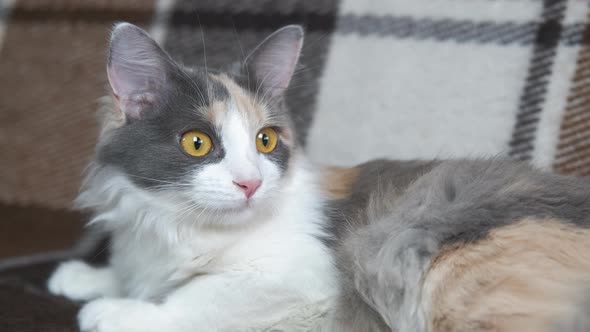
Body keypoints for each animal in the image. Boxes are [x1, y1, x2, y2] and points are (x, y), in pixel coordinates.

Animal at [48, 23, 590, 332]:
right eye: (197, 143)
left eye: (266, 140)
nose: (250, 183)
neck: (177, 223)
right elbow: (132, 273)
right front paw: (87, 277)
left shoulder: (301, 279)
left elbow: (194, 298)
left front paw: (119, 311)